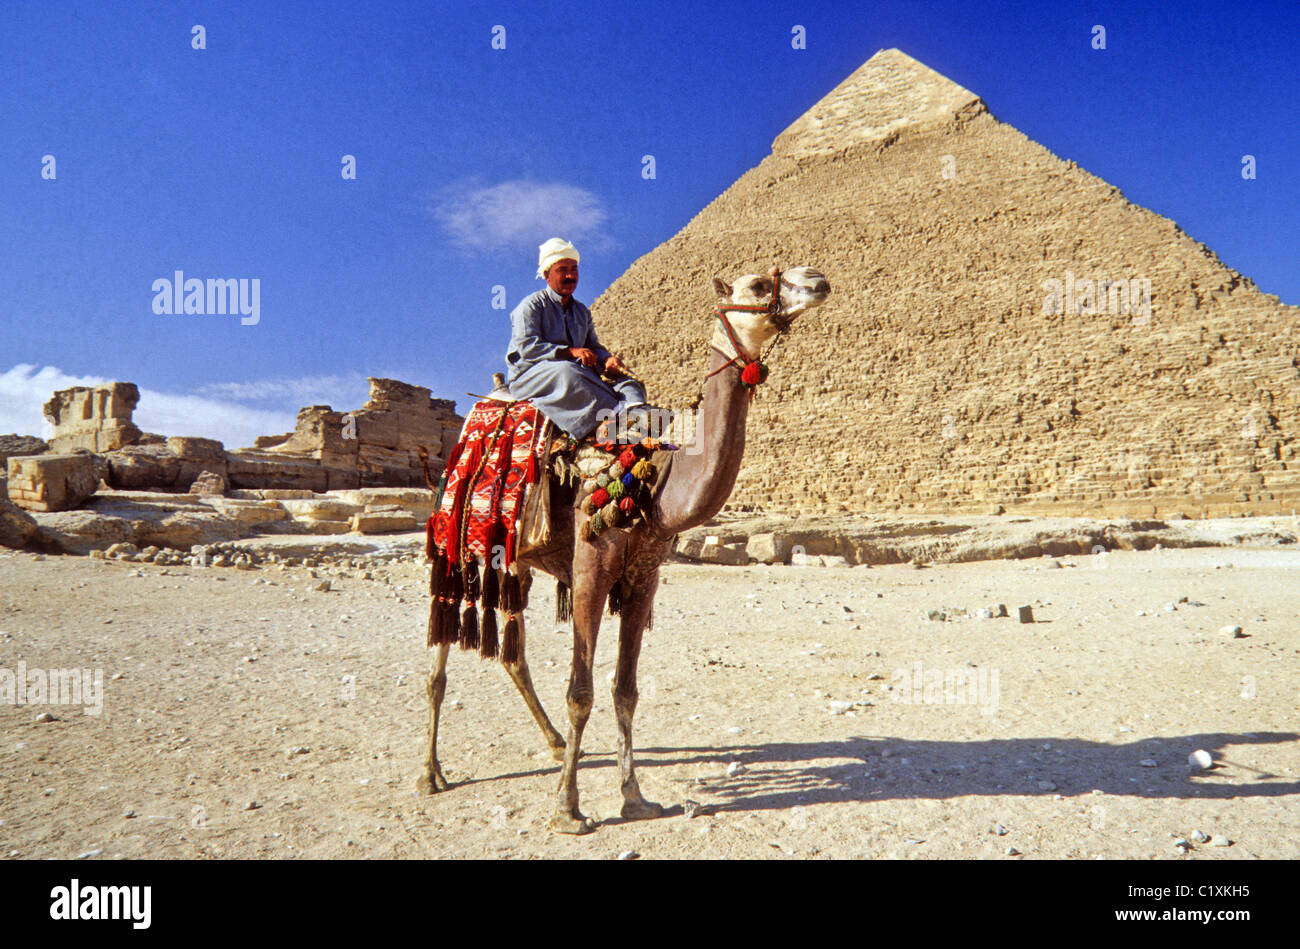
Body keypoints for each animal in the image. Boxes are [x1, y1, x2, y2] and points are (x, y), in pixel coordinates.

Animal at [418, 265, 831, 833]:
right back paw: (430, 773)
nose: (816, 279)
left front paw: (633, 797)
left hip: (516, 562)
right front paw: (568, 809)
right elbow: (581, 692)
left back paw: (554, 745)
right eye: (753, 285)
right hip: (454, 547)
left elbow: (626, 691)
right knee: (439, 656)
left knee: (513, 654)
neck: (655, 483)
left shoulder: (643, 580)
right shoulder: (591, 571)